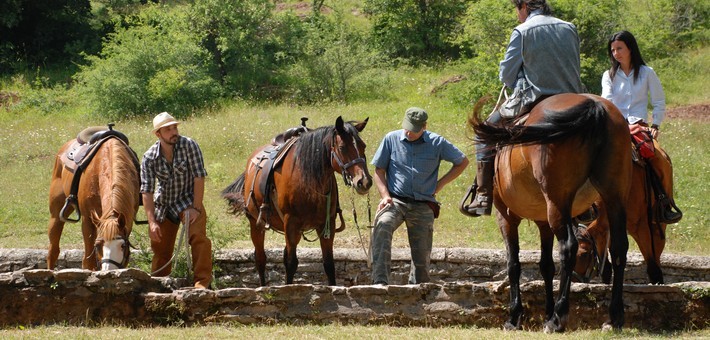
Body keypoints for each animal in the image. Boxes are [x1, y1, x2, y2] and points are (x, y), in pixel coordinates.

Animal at [47, 129, 140, 272]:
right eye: (99, 245)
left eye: (122, 245)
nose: (109, 270)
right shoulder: (87, 220)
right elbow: (88, 262)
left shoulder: (126, 221)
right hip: (56, 214)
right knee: (53, 250)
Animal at [224, 115, 376, 286]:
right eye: (343, 147)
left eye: (363, 146)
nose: (364, 181)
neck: (308, 180)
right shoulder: (291, 223)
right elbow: (291, 264)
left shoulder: (327, 224)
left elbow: (329, 264)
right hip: (256, 223)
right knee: (260, 259)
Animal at [472, 93, 636, 332]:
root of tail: (594, 106)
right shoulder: (544, 222)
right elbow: (546, 265)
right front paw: (545, 310)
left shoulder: (506, 217)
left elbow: (513, 264)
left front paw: (515, 316)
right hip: (614, 198)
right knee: (618, 248)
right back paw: (614, 317)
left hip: (557, 203)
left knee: (568, 246)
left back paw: (558, 317)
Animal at [576, 139, 676, 286]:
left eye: (583, 254)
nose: (575, 279)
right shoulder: (603, 228)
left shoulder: (641, 227)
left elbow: (653, 267)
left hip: (658, 225)